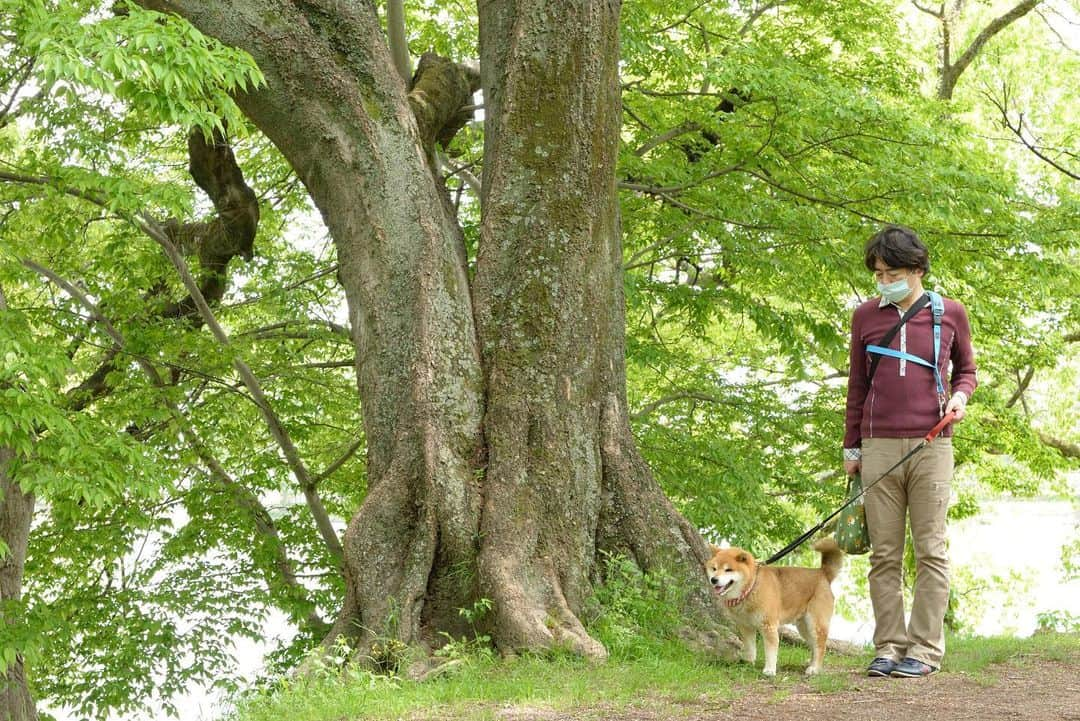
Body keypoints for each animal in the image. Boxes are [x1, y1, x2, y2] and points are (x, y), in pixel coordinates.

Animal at [704, 539, 846, 677]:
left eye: (728, 570)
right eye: (714, 568)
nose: (714, 579)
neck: (751, 588)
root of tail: (822, 573)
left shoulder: (769, 626)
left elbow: (771, 652)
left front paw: (770, 670)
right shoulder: (746, 626)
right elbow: (750, 647)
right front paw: (749, 663)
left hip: (815, 624)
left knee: (821, 646)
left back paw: (815, 669)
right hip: (804, 627)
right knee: (814, 646)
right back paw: (811, 664)